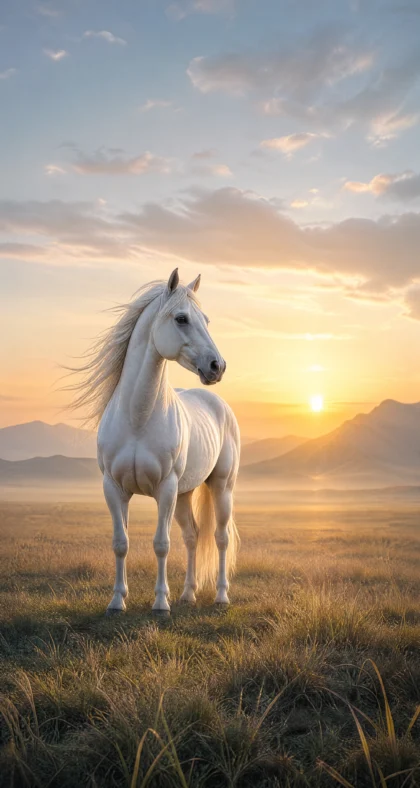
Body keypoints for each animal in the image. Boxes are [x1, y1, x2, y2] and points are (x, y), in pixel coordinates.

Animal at [71, 268, 240, 615]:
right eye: (181, 318)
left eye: (206, 319)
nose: (217, 366)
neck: (138, 418)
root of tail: (218, 404)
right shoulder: (114, 488)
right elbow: (120, 543)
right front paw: (117, 601)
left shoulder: (166, 488)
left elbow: (161, 544)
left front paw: (161, 603)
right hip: (186, 493)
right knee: (192, 536)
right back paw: (188, 594)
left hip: (220, 487)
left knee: (220, 538)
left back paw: (220, 596)